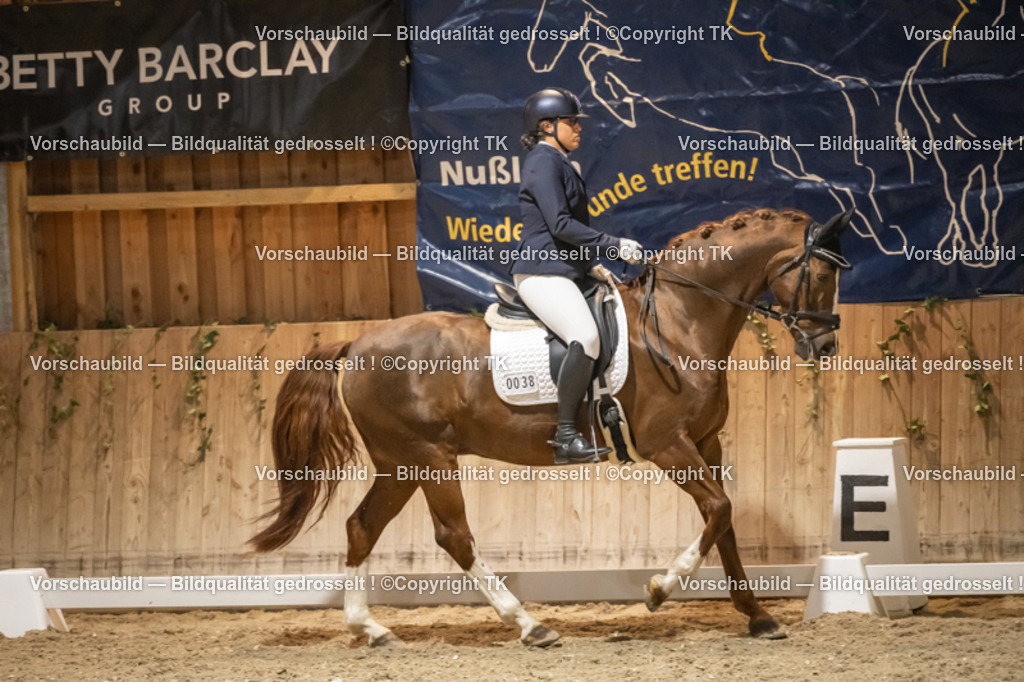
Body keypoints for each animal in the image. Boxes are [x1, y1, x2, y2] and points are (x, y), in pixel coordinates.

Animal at [249, 207, 852, 647]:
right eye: (824, 273)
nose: (824, 346)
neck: (679, 321)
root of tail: (356, 343)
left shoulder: (708, 442)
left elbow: (723, 521)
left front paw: (758, 617)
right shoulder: (669, 445)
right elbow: (720, 510)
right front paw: (660, 588)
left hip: (401, 463)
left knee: (361, 527)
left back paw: (371, 629)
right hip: (429, 457)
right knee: (454, 536)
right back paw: (528, 624)